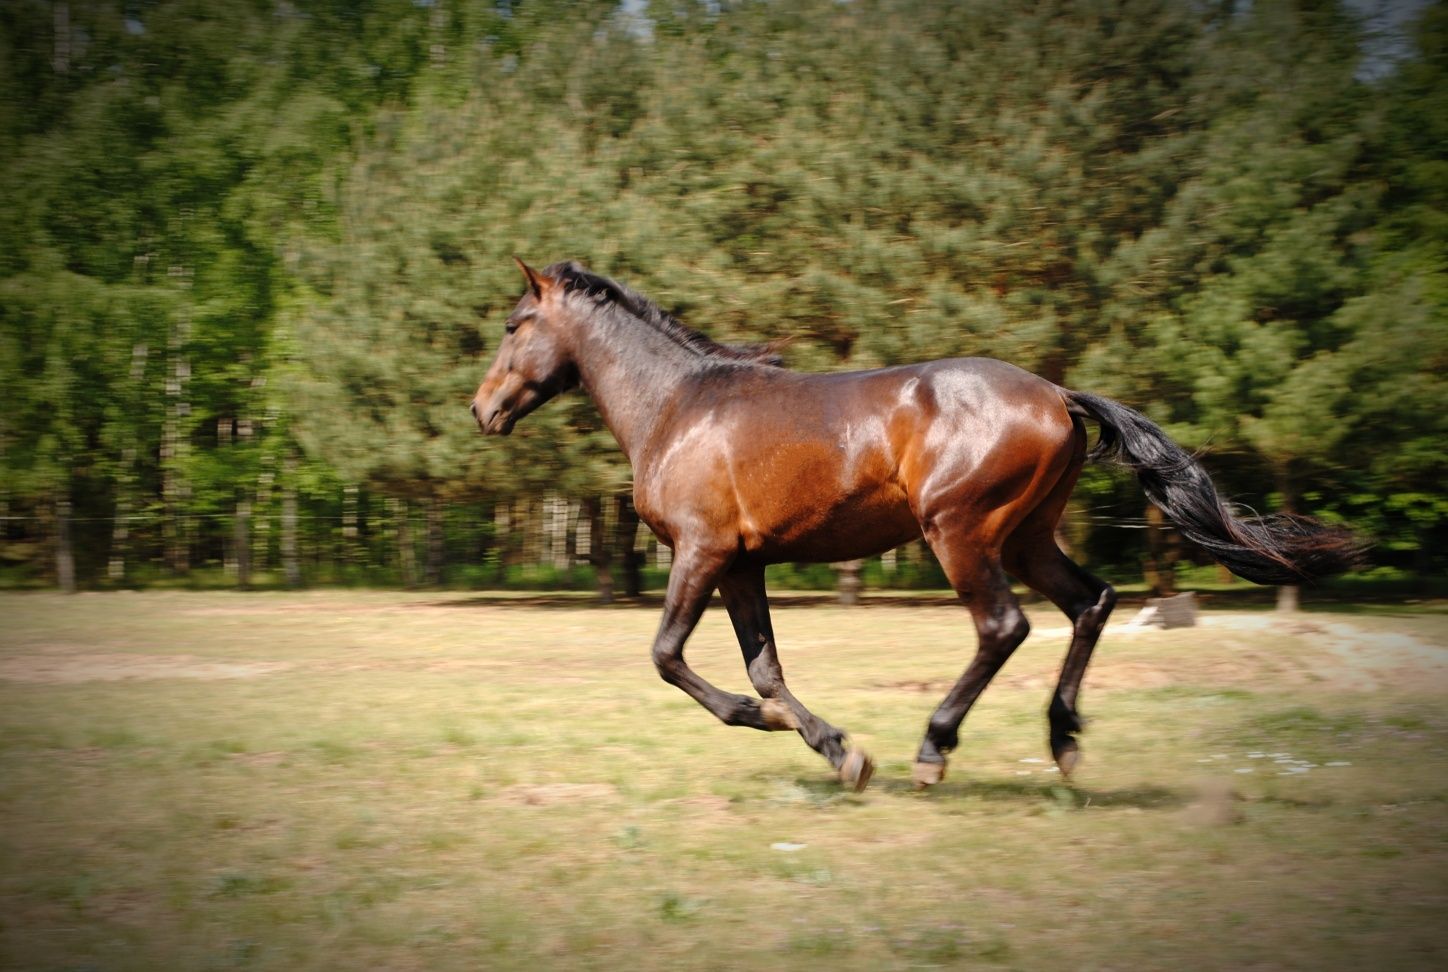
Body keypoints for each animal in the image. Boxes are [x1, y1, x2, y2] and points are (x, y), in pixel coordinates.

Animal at [469, 257, 1361, 788]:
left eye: (514, 325)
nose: (481, 410)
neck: (678, 406)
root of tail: (1057, 394)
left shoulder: (702, 550)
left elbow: (668, 657)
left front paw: (804, 737)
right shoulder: (744, 562)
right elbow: (766, 670)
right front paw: (837, 749)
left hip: (959, 532)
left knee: (1004, 626)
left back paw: (936, 748)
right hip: (1027, 536)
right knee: (1091, 602)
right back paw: (1064, 741)